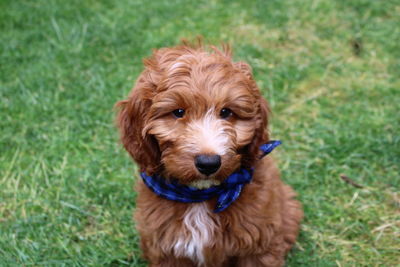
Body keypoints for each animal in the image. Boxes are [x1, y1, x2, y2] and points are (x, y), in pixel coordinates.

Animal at [117, 40, 302, 266]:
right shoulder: (166, 249)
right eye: (178, 112)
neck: (200, 198)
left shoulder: (259, 243)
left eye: (226, 112)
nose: (208, 163)